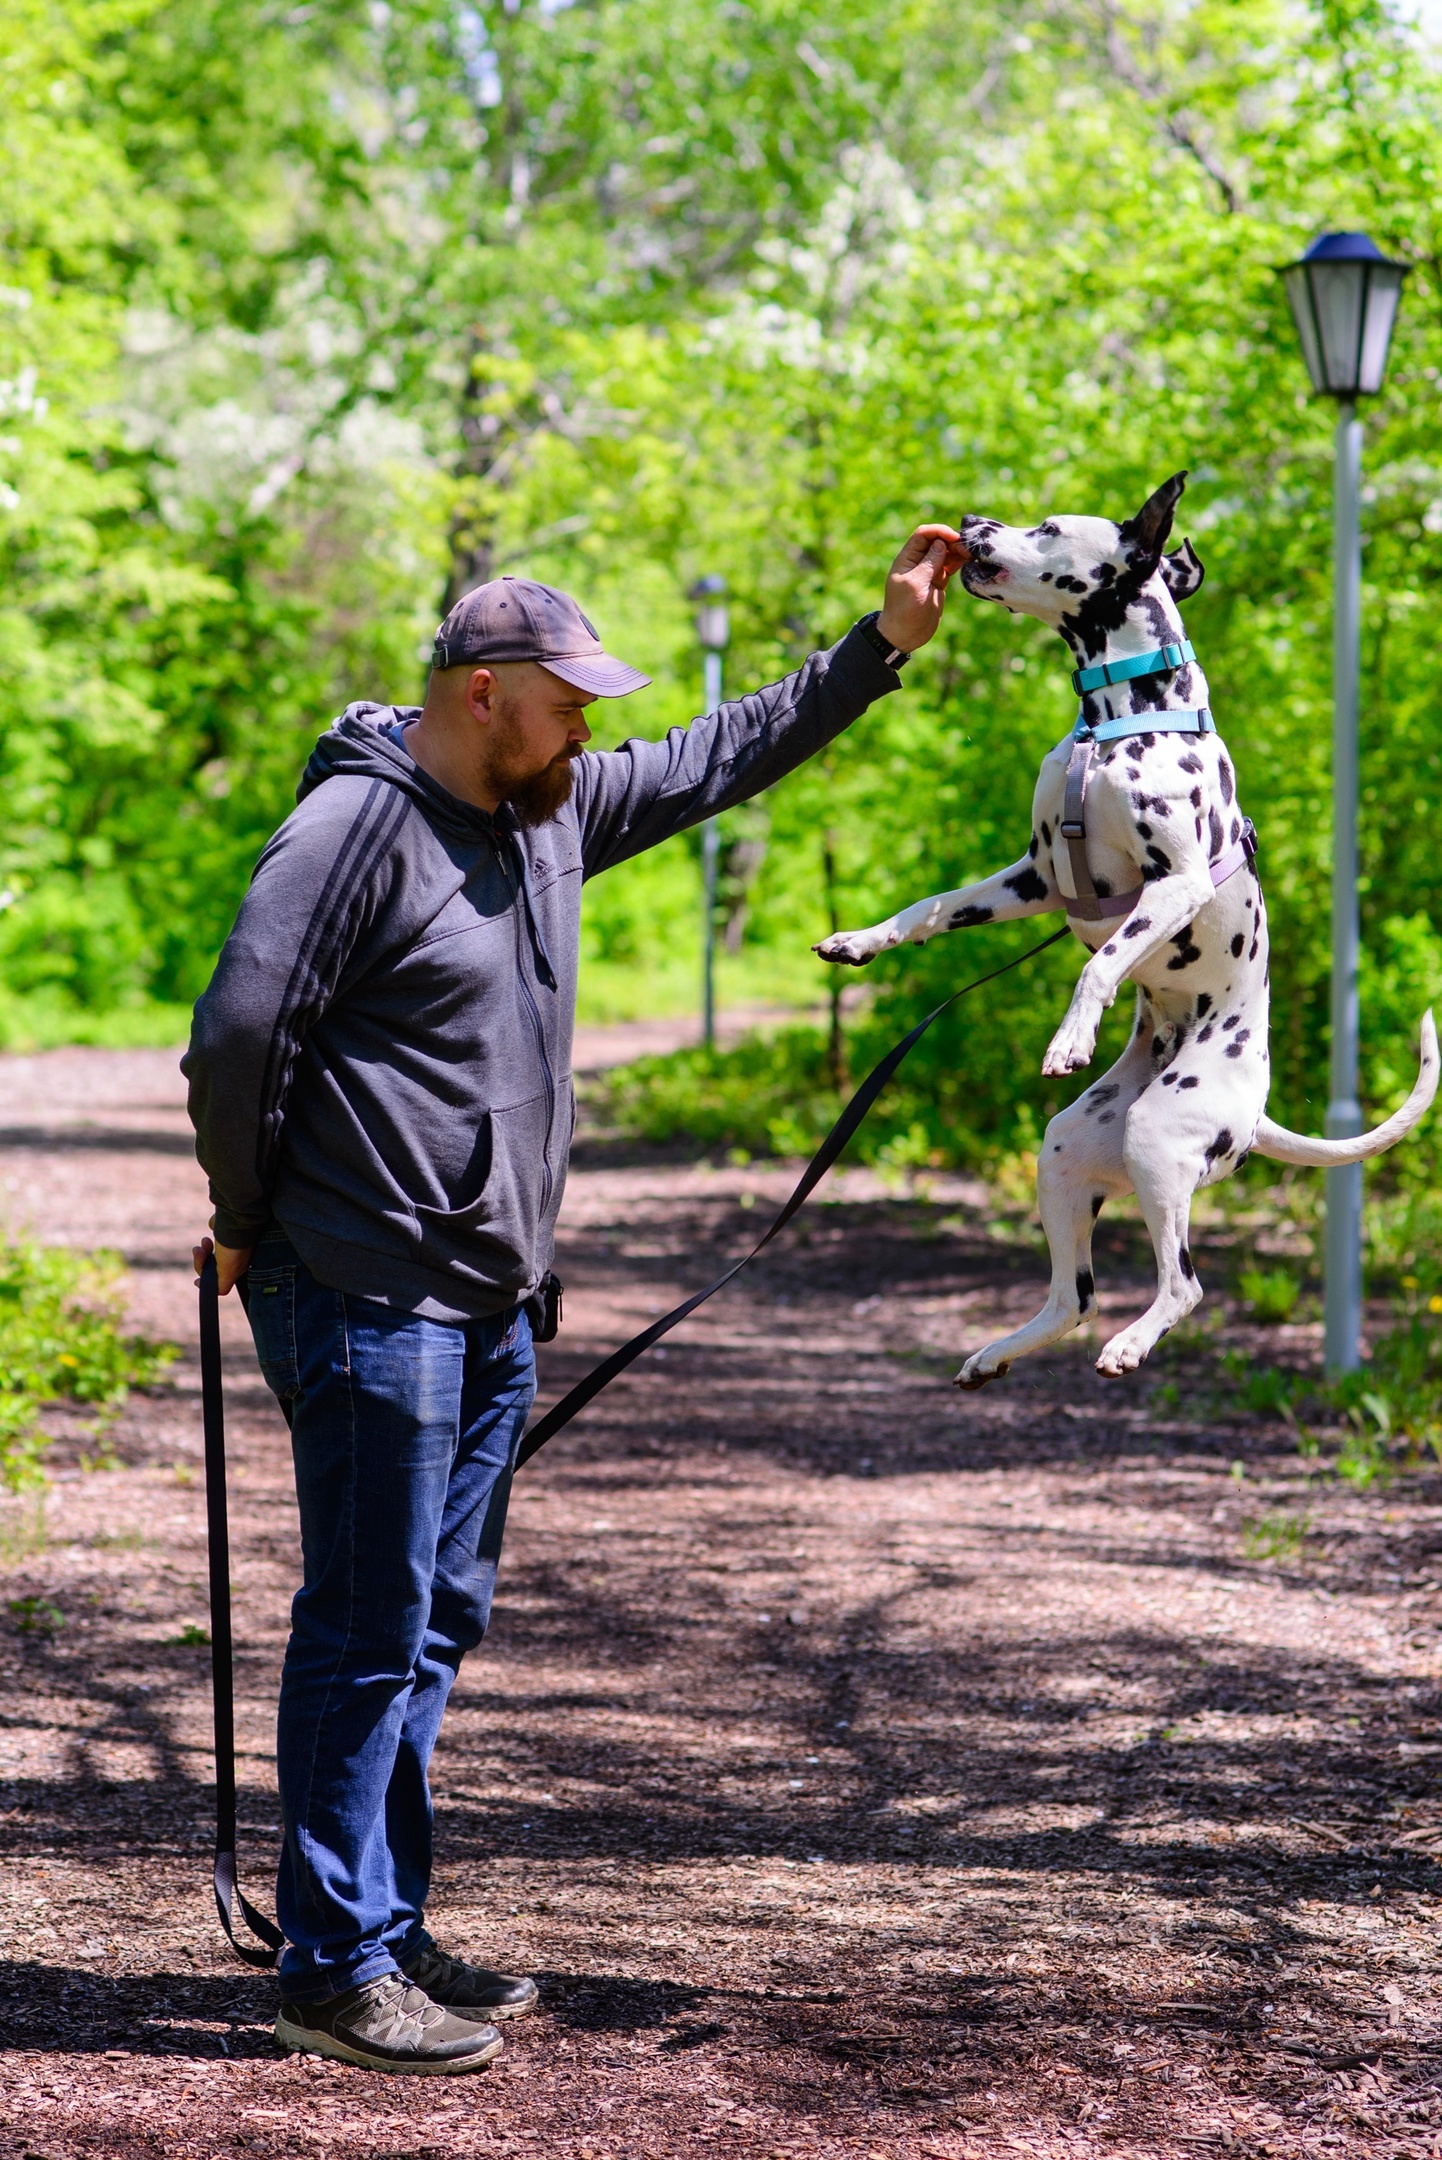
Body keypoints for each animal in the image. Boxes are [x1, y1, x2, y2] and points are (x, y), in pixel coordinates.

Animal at [815, 473, 1433, 1382]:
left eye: (1046, 525)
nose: (968, 521)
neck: (1118, 719)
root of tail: (1255, 1110)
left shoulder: (1172, 883)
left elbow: (1100, 963)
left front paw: (1071, 1035)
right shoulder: (1034, 877)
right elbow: (933, 907)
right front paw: (860, 939)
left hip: (1160, 1142)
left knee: (1183, 1286)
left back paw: (1132, 1342)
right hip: (1067, 1150)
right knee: (1072, 1297)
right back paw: (998, 1351)